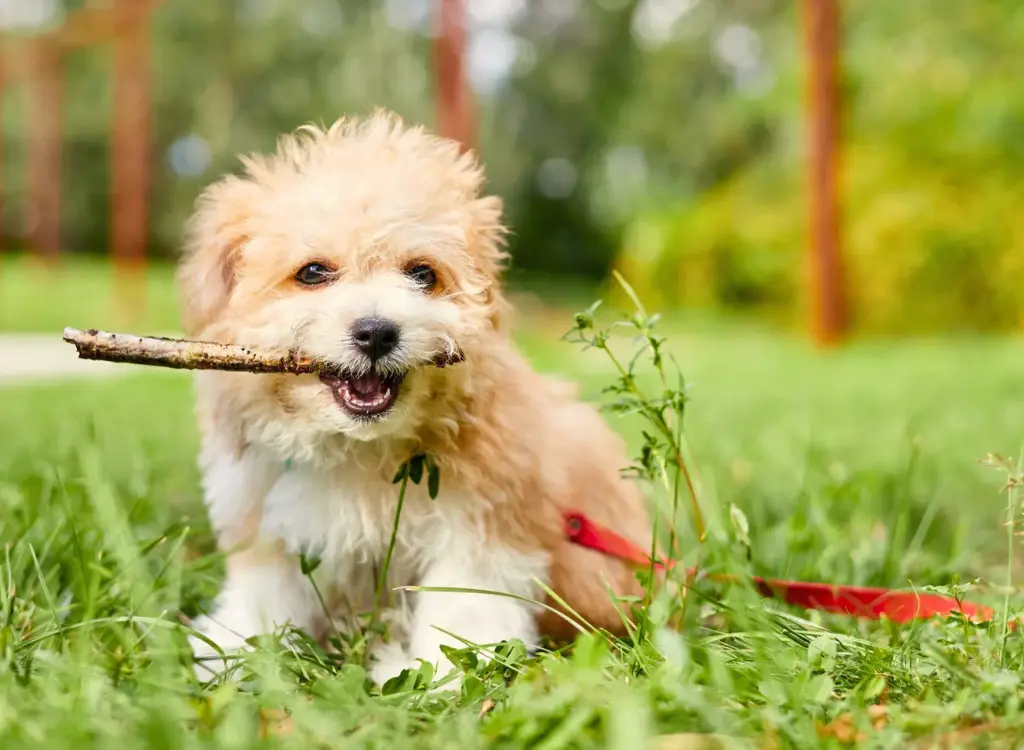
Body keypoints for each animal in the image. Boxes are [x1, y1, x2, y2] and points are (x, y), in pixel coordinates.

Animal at [178, 109, 647, 684]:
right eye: (313, 272)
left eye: (423, 273)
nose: (377, 332)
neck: (360, 448)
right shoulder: (264, 515)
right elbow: (265, 591)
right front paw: (235, 652)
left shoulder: (484, 524)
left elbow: (464, 604)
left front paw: (442, 674)